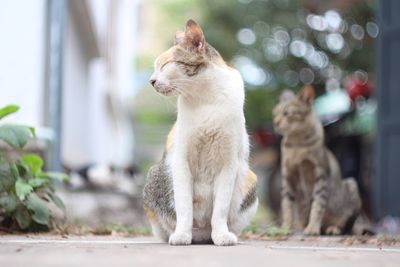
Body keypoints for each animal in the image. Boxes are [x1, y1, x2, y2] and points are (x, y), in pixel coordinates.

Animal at [142, 19, 258, 247]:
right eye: (155, 67)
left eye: (165, 65)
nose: (151, 81)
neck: (206, 98)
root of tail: (202, 235)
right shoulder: (180, 160)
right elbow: (184, 206)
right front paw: (181, 235)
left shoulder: (229, 163)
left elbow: (220, 209)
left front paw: (221, 235)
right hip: (153, 177)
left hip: (251, 179)